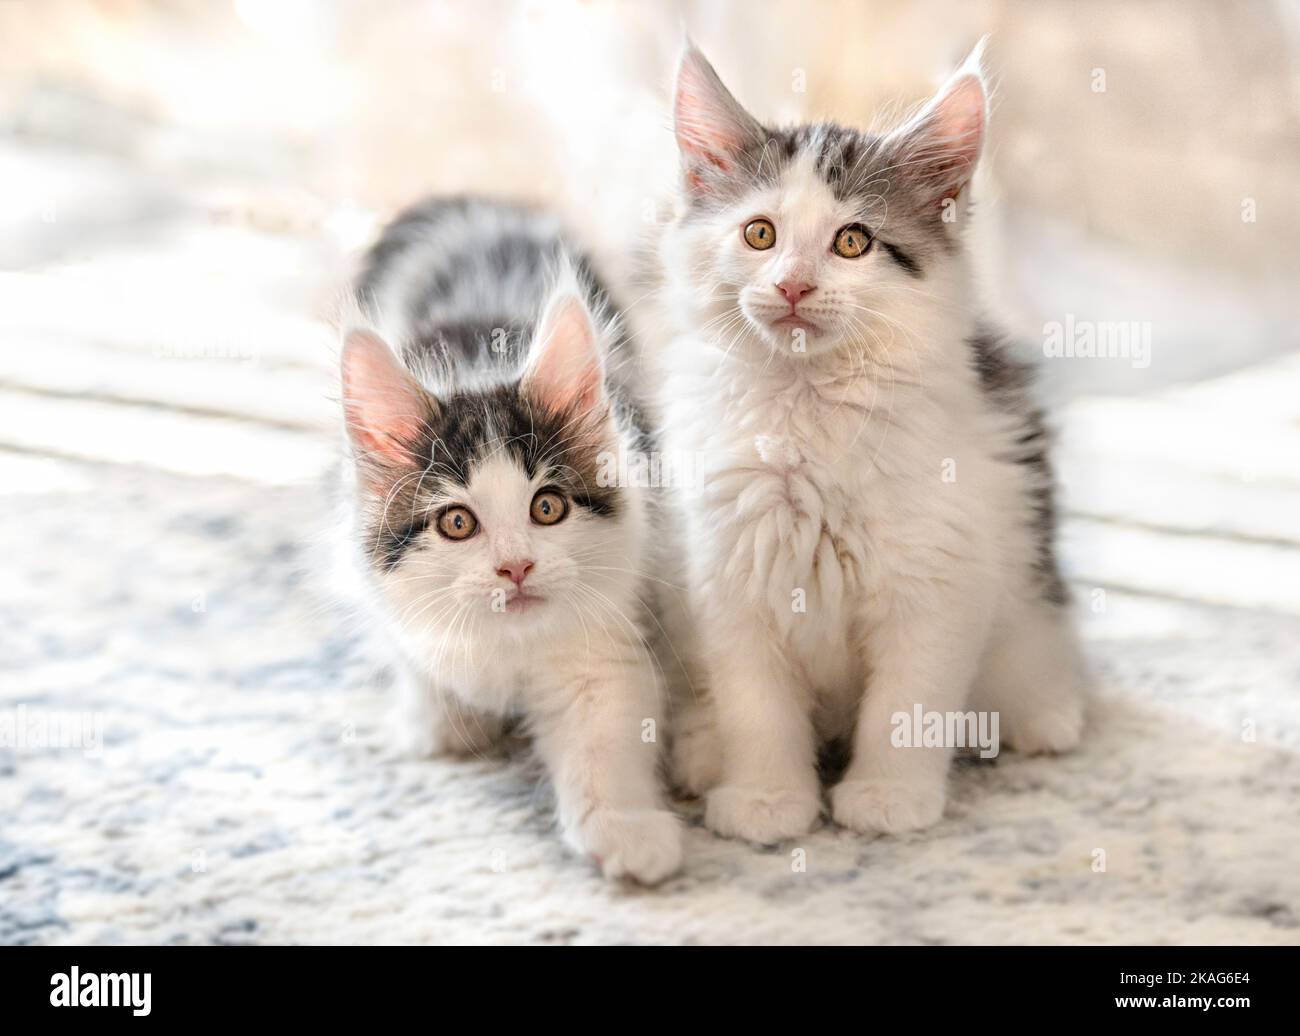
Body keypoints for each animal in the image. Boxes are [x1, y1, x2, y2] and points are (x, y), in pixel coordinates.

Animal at [340, 196, 686, 878]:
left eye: (547, 507)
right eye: (457, 523)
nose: (516, 568)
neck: (505, 648)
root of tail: (471, 201)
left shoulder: (600, 637)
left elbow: (605, 732)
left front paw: (626, 830)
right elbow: (419, 666)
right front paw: (442, 723)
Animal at [655, 44, 1092, 842]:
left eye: (852, 243)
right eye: (760, 234)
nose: (794, 286)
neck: (805, 414)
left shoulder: (938, 582)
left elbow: (906, 708)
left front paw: (888, 798)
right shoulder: (727, 577)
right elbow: (755, 708)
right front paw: (767, 800)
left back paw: (1043, 715)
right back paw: (702, 752)